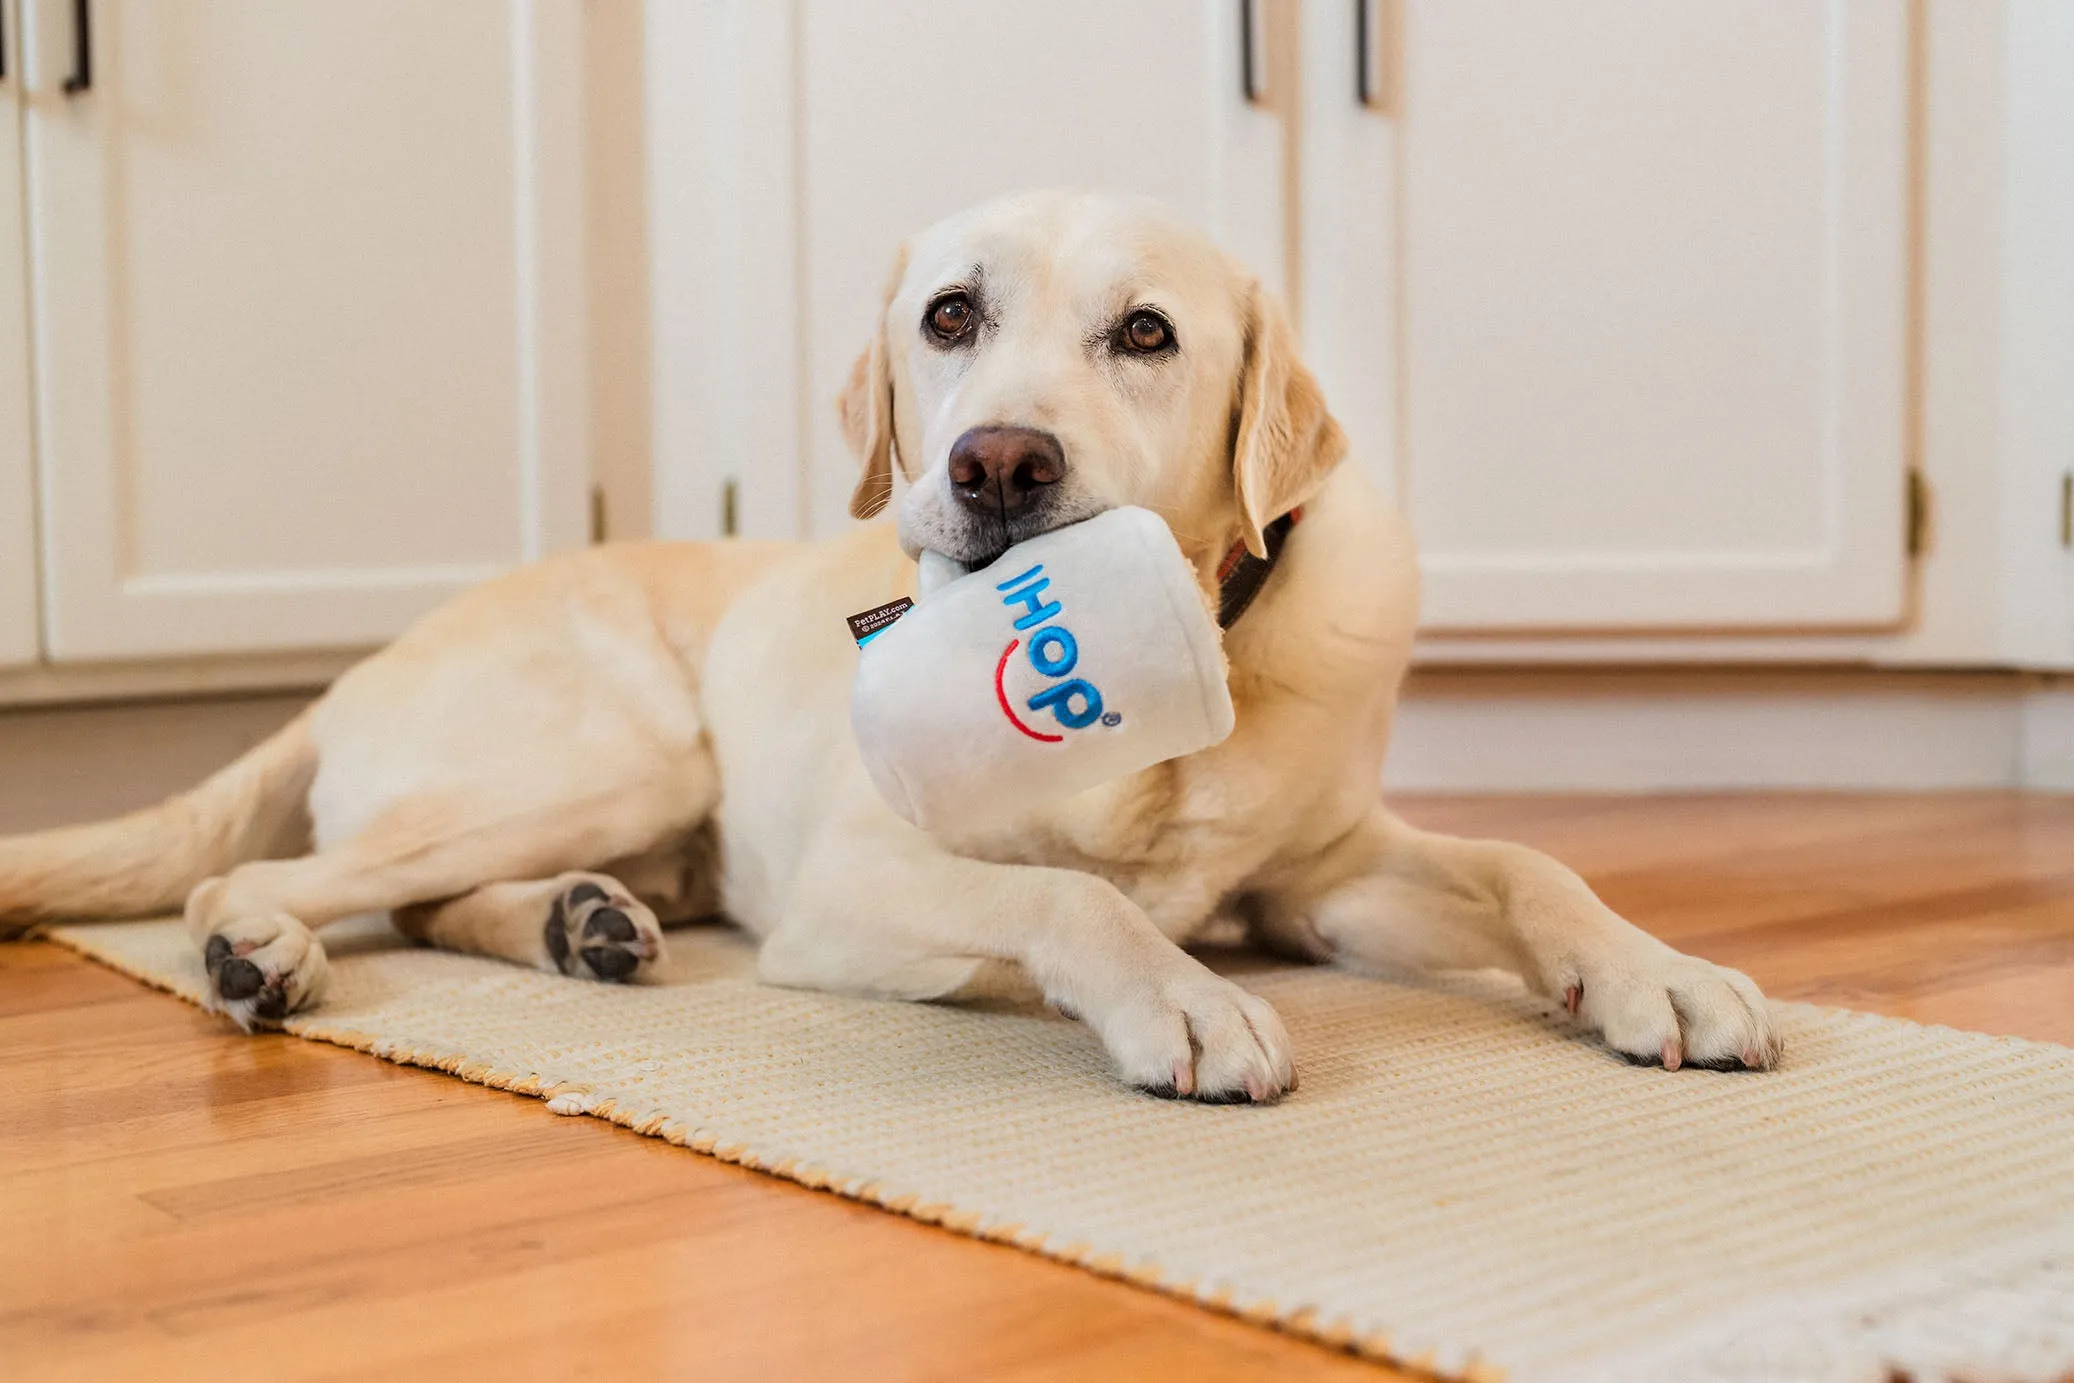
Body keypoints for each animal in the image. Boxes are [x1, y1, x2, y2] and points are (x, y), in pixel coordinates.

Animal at [0, 191, 1783, 1103]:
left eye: (1147, 333)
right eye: (947, 317)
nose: (998, 462)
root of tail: (356, 660)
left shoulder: (1323, 875)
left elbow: (1530, 862)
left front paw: (1662, 972)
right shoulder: (854, 878)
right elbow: (1067, 895)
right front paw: (1184, 1003)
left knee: (438, 896)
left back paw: (583, 925)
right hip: (625, 746)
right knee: (258, 877)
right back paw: (262, 951)